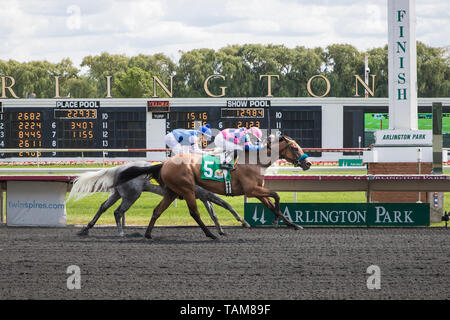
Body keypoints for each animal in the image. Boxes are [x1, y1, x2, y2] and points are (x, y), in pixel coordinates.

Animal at [69, 161, 250, 236]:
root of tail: (119, 169)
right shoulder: (205, 194)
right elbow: (226, 205)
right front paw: (243, 222)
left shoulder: (203, 196)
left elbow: (214, 214)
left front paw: (221, 230)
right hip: (132, 195)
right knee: (118, 212)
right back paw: (121, 232)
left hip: (118, 194)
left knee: (103, 207)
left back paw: (86, 229)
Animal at [116, 136, 312, 240]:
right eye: (295, 148)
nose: (308, 163)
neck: (256, 162)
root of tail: (165, 163)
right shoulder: (251, 190)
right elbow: (277, 196)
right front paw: (277, 221)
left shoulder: (258, 191)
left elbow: (273, 204)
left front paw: (293, 224)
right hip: (187, 189)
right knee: (194, 213)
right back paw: (211, 234)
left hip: (172, 191)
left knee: (157, 210)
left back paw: (148, 234)